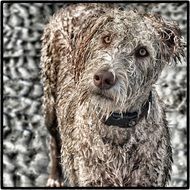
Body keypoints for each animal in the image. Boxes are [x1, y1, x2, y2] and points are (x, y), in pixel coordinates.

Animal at [40, 2, 185, 187]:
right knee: (53, 141)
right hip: (49, 105)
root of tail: (74, 6)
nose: (103, 78)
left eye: (142, 51)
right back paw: (55, 176)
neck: (116, 124)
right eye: (106, 38)